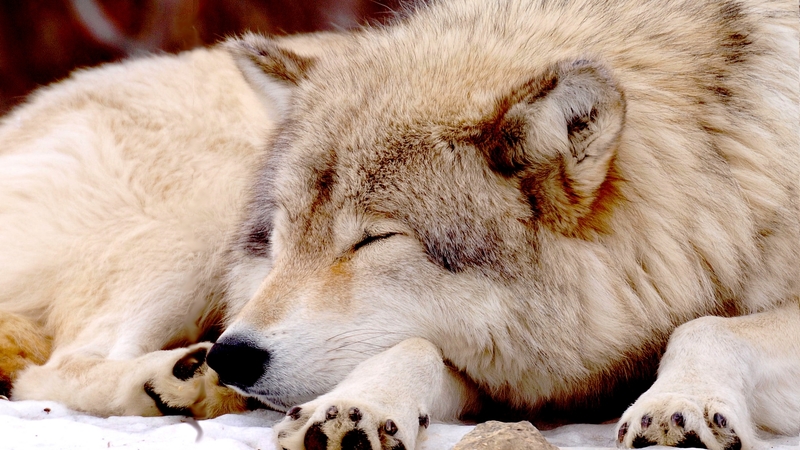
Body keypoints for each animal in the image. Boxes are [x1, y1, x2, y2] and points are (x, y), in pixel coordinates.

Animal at [1, 0, 798, 450]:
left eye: (374, 239)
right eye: (286, 233)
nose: (235, 356)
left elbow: (707, 328)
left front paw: (679, 405)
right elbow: (410, 347)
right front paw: (352, 407)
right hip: (199, 212)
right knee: (53, 366)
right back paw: (179, 381)